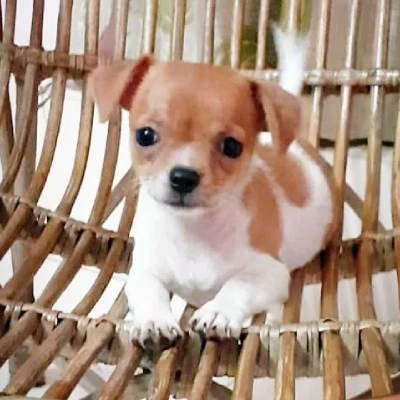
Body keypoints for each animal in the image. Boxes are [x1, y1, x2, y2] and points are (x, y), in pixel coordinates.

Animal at [89, 29, 336, 346]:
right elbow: (149, 292)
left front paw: (218, 312)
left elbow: (237, 285)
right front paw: (155, 320)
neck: (194, 233)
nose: (183, 176)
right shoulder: (143, 271)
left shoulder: (270, 273)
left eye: (231, 146)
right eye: (145, 135)